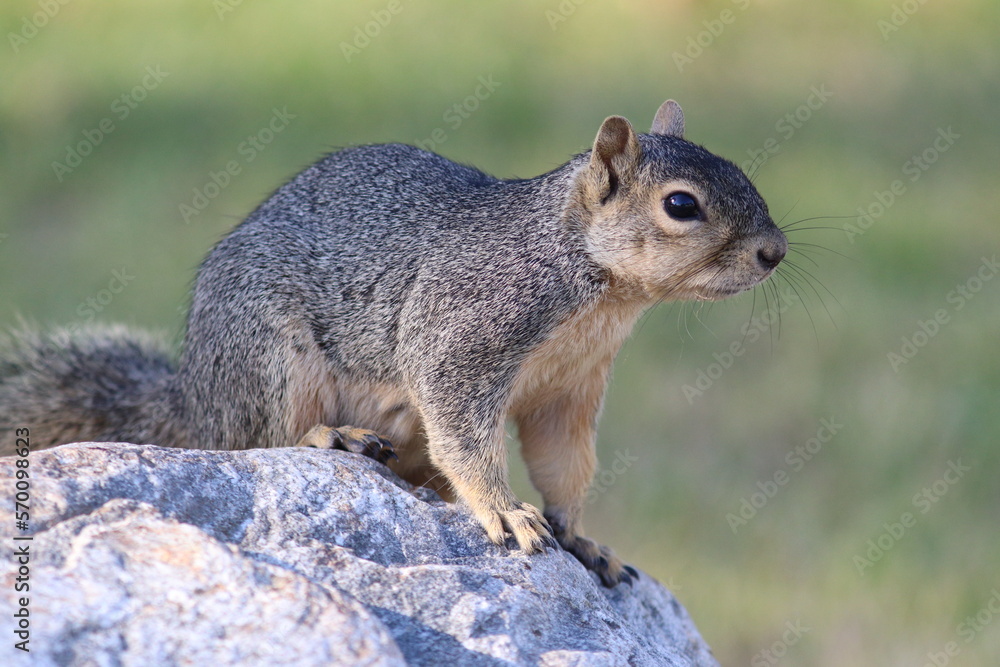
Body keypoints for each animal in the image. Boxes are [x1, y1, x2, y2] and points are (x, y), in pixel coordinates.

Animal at [0, 100, 786, 586]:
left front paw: (579, 535)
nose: (775, 252)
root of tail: (195, 394)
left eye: (744, 172)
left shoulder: (569, 388)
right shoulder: (462, 332)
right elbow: (463, 429)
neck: (599, 291)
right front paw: (504, 511)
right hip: (268, 354)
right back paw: (330, 436)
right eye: (680, 204)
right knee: (254, 437)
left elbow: (565, 462)